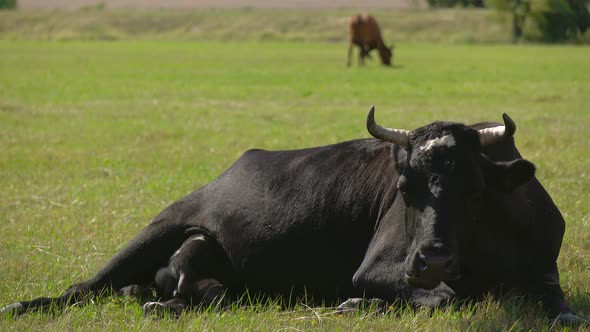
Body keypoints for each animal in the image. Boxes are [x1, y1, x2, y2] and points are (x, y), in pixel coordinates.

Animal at [0, 107, 584, 324]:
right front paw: (356, 303)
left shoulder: (544, 268)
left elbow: (560, 307)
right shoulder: (380, 268)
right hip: (159, 225)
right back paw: (24, 306)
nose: (432, 259)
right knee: (81, 287)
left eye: (476, 188)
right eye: (404, 189)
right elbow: (440, 298)